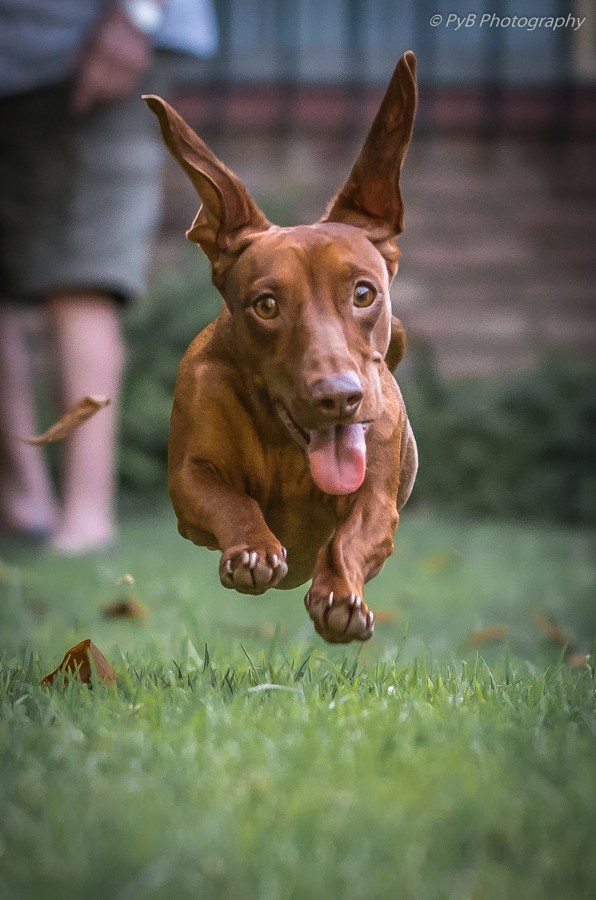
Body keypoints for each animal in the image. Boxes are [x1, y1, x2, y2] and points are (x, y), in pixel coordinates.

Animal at [143, 49, 420, 644]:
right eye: (266, 305)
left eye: (364, 293)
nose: (338, 397)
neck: (290, 448)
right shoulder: (188, 480)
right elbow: (228, 498)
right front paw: (253, 549)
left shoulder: (377, 495)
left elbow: (357, 531)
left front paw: (341, 596)